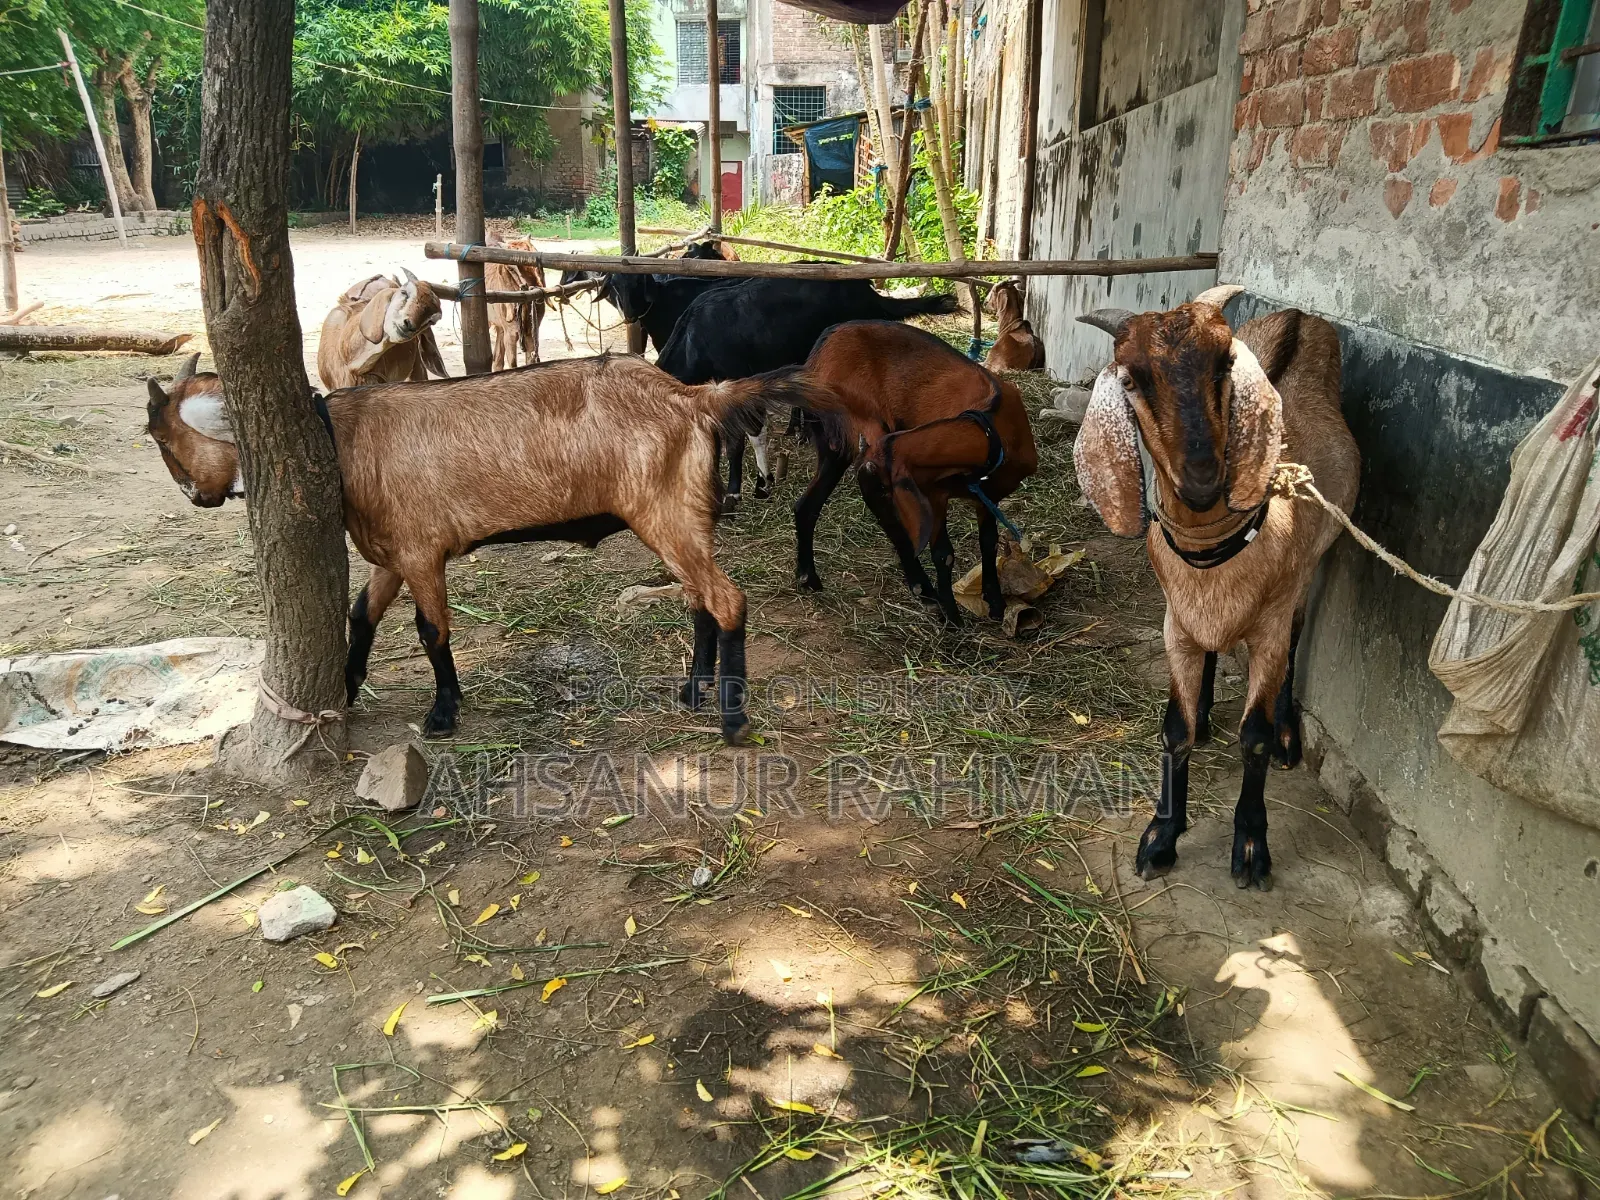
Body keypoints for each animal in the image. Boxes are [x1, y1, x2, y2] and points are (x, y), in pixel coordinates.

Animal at [144, 356, 821, 743]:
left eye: (167, 444)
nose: (194, 496)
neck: (341, 439)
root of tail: (695, 397)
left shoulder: (422, 552)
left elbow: (431, 630)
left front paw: (443, 714)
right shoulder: (392, 555)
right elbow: (362, 614)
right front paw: (348, 686)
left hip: (666, 513)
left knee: (726, 598)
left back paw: (732, 718)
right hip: (682, 515)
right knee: (700, 598)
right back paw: (692, 691)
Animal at [788, 321, 1038, 623]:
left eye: (884, 485)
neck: (989, 427)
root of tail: (825, 341)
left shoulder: (987, 496)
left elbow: (988, 543)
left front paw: (996, 605)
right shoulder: (934, 493)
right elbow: (943, 554)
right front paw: (952, 618)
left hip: (836, 446)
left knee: (806, 506)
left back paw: (808, 577)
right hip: (855, 424)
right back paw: (924, 590)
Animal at [1073, 285, 1358, 888]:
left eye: (1226, 364)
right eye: (1129, 379)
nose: (1202, 478)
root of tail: (1301, 316)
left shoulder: (1270, 624)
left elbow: (1253, 736)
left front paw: (1250, 844)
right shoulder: (1175, 625)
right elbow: (1174, 728)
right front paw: (1161, 835)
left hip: (1313, 567)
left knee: (1299, 635)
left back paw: (1289, 733)